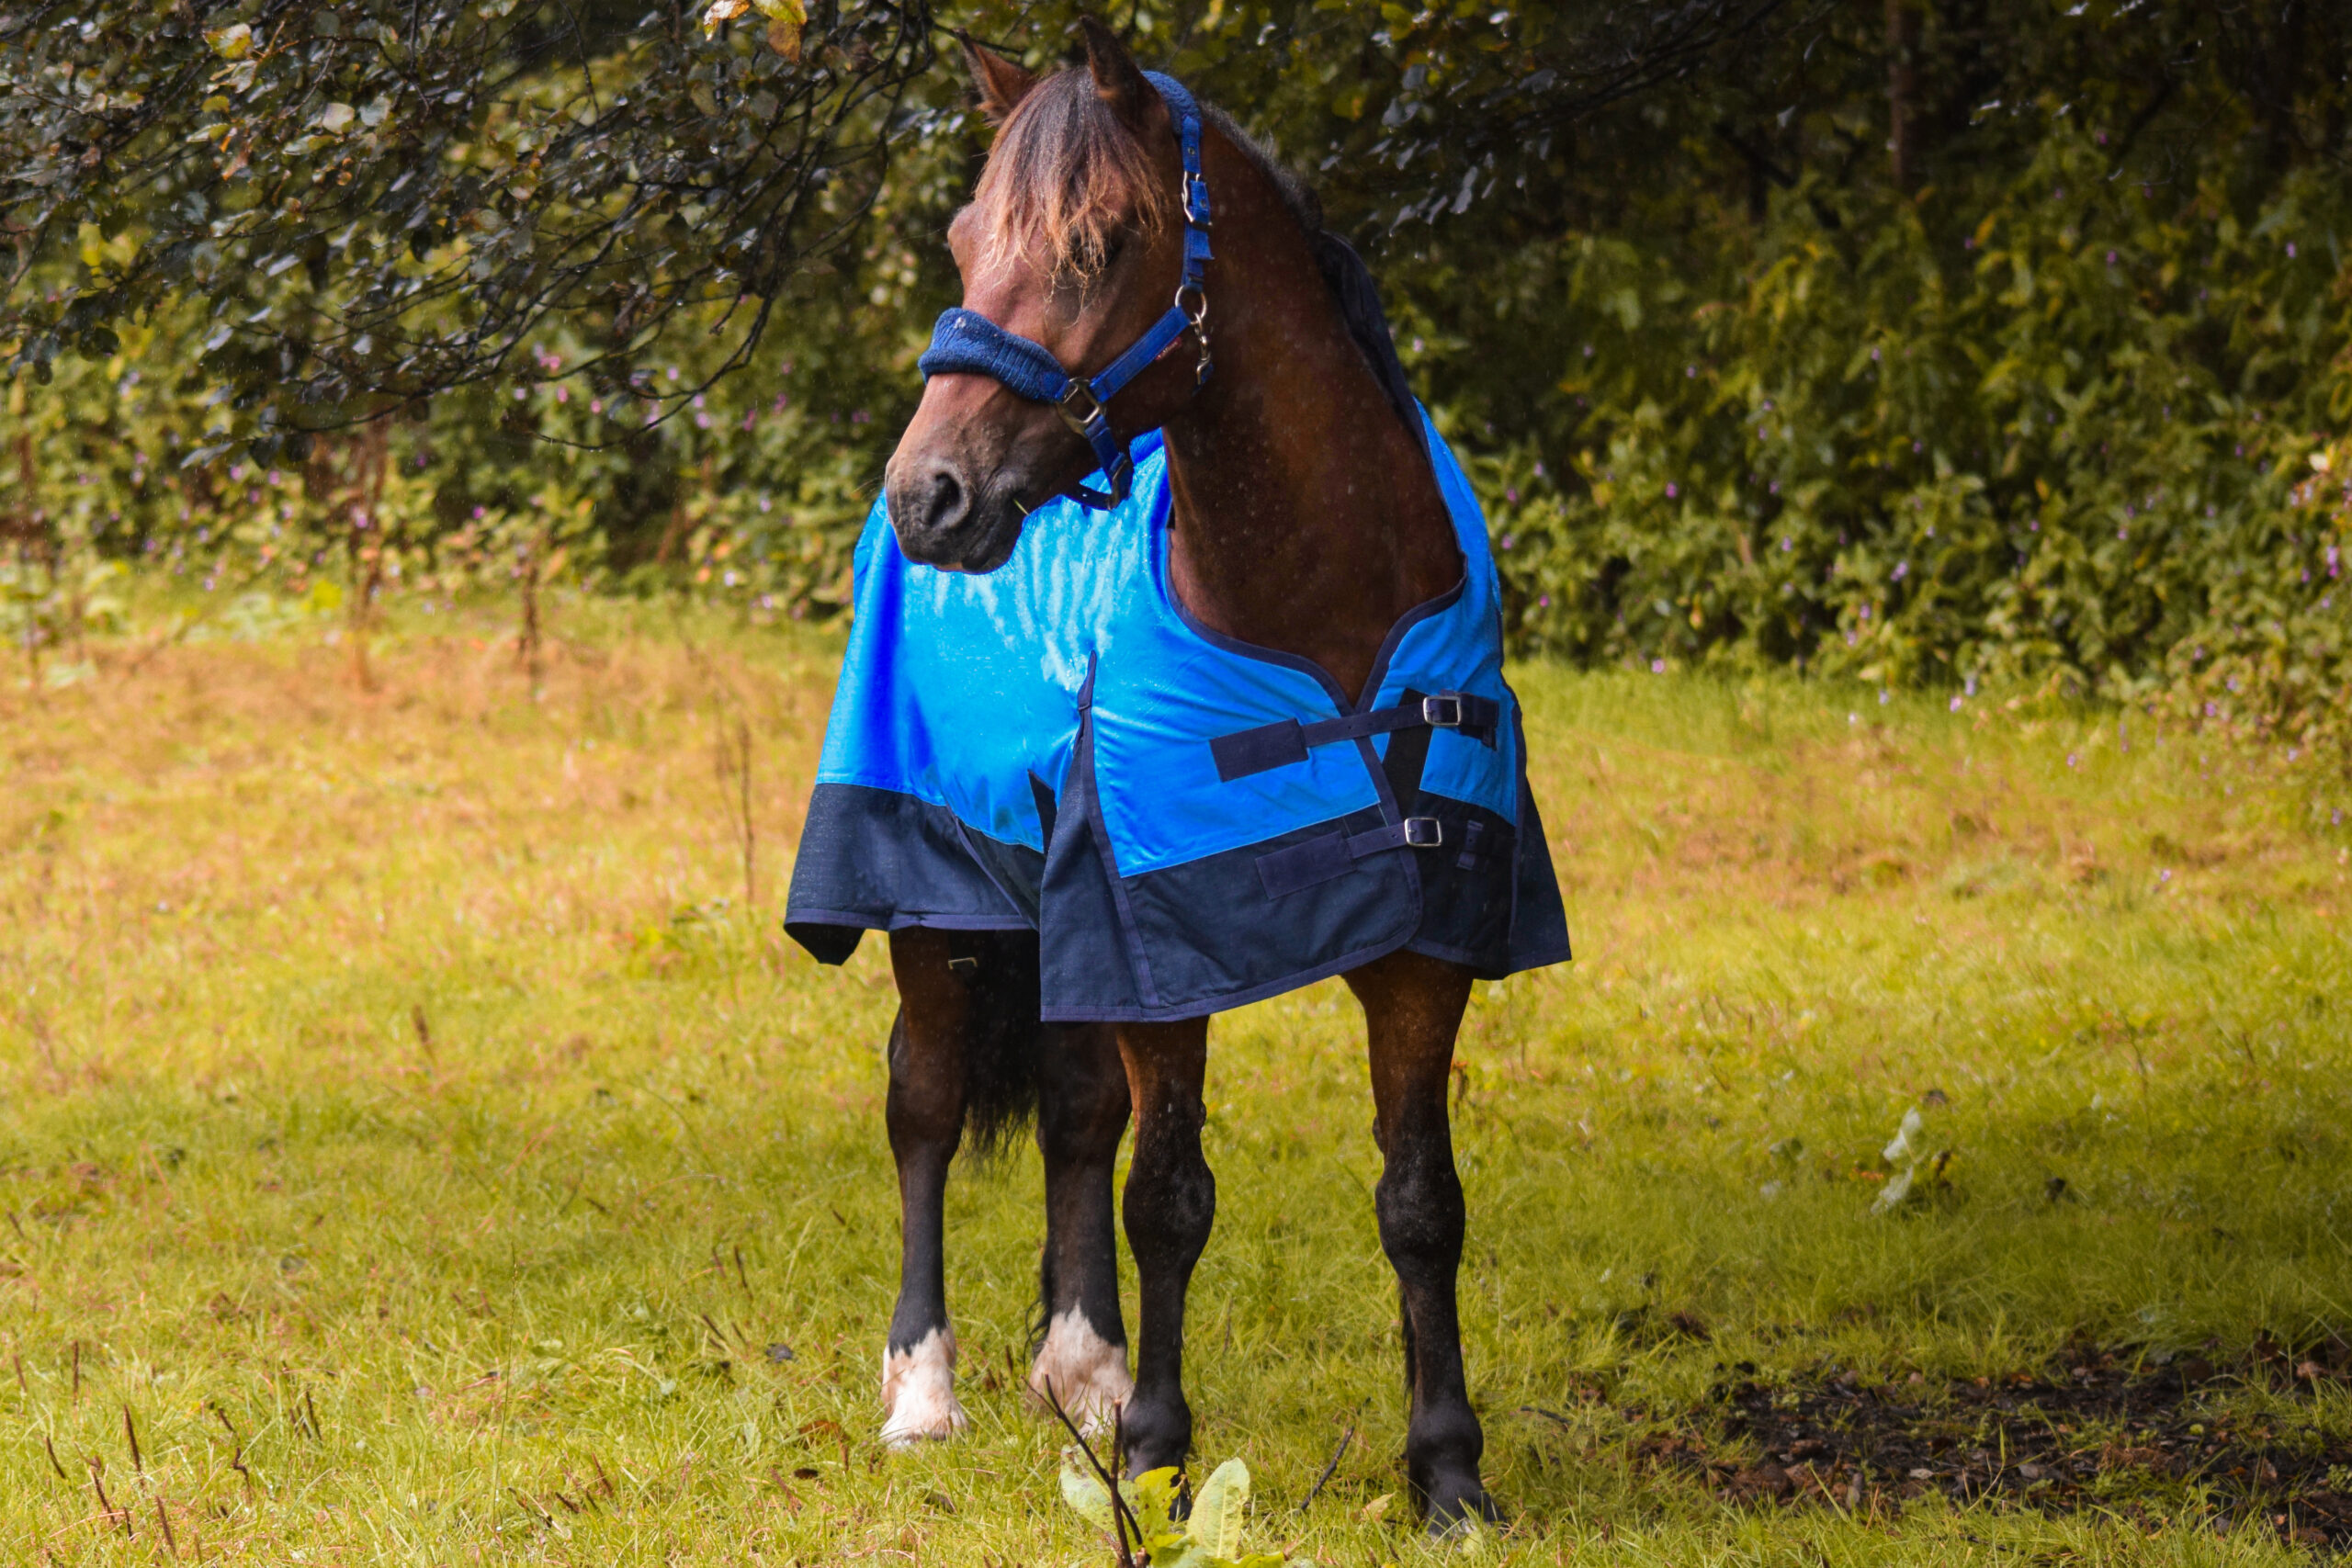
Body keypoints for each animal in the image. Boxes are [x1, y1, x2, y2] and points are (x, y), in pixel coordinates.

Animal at [784, 18, 1568, 1532]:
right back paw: (928, 1392)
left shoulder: (1423, 948)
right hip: (932, 899)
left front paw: (1447, 1467)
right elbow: (1170, 1197)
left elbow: (1419, 1200)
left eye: (1099, 239)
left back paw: (1077, 1369)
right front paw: (1156, 1450)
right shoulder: (1160, 934)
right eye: (961, 238)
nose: (930, 495)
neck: (1321, 609)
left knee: (1078, 1111)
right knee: (923, 1105)